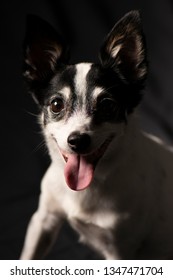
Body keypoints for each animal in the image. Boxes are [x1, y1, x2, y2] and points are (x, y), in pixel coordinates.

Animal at [20, 10, 173, 260]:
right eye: (56, 105)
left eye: (107, 106)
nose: (77, 140)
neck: (92, 184)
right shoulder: (43, 221)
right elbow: (27, 256)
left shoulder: (119, 251)